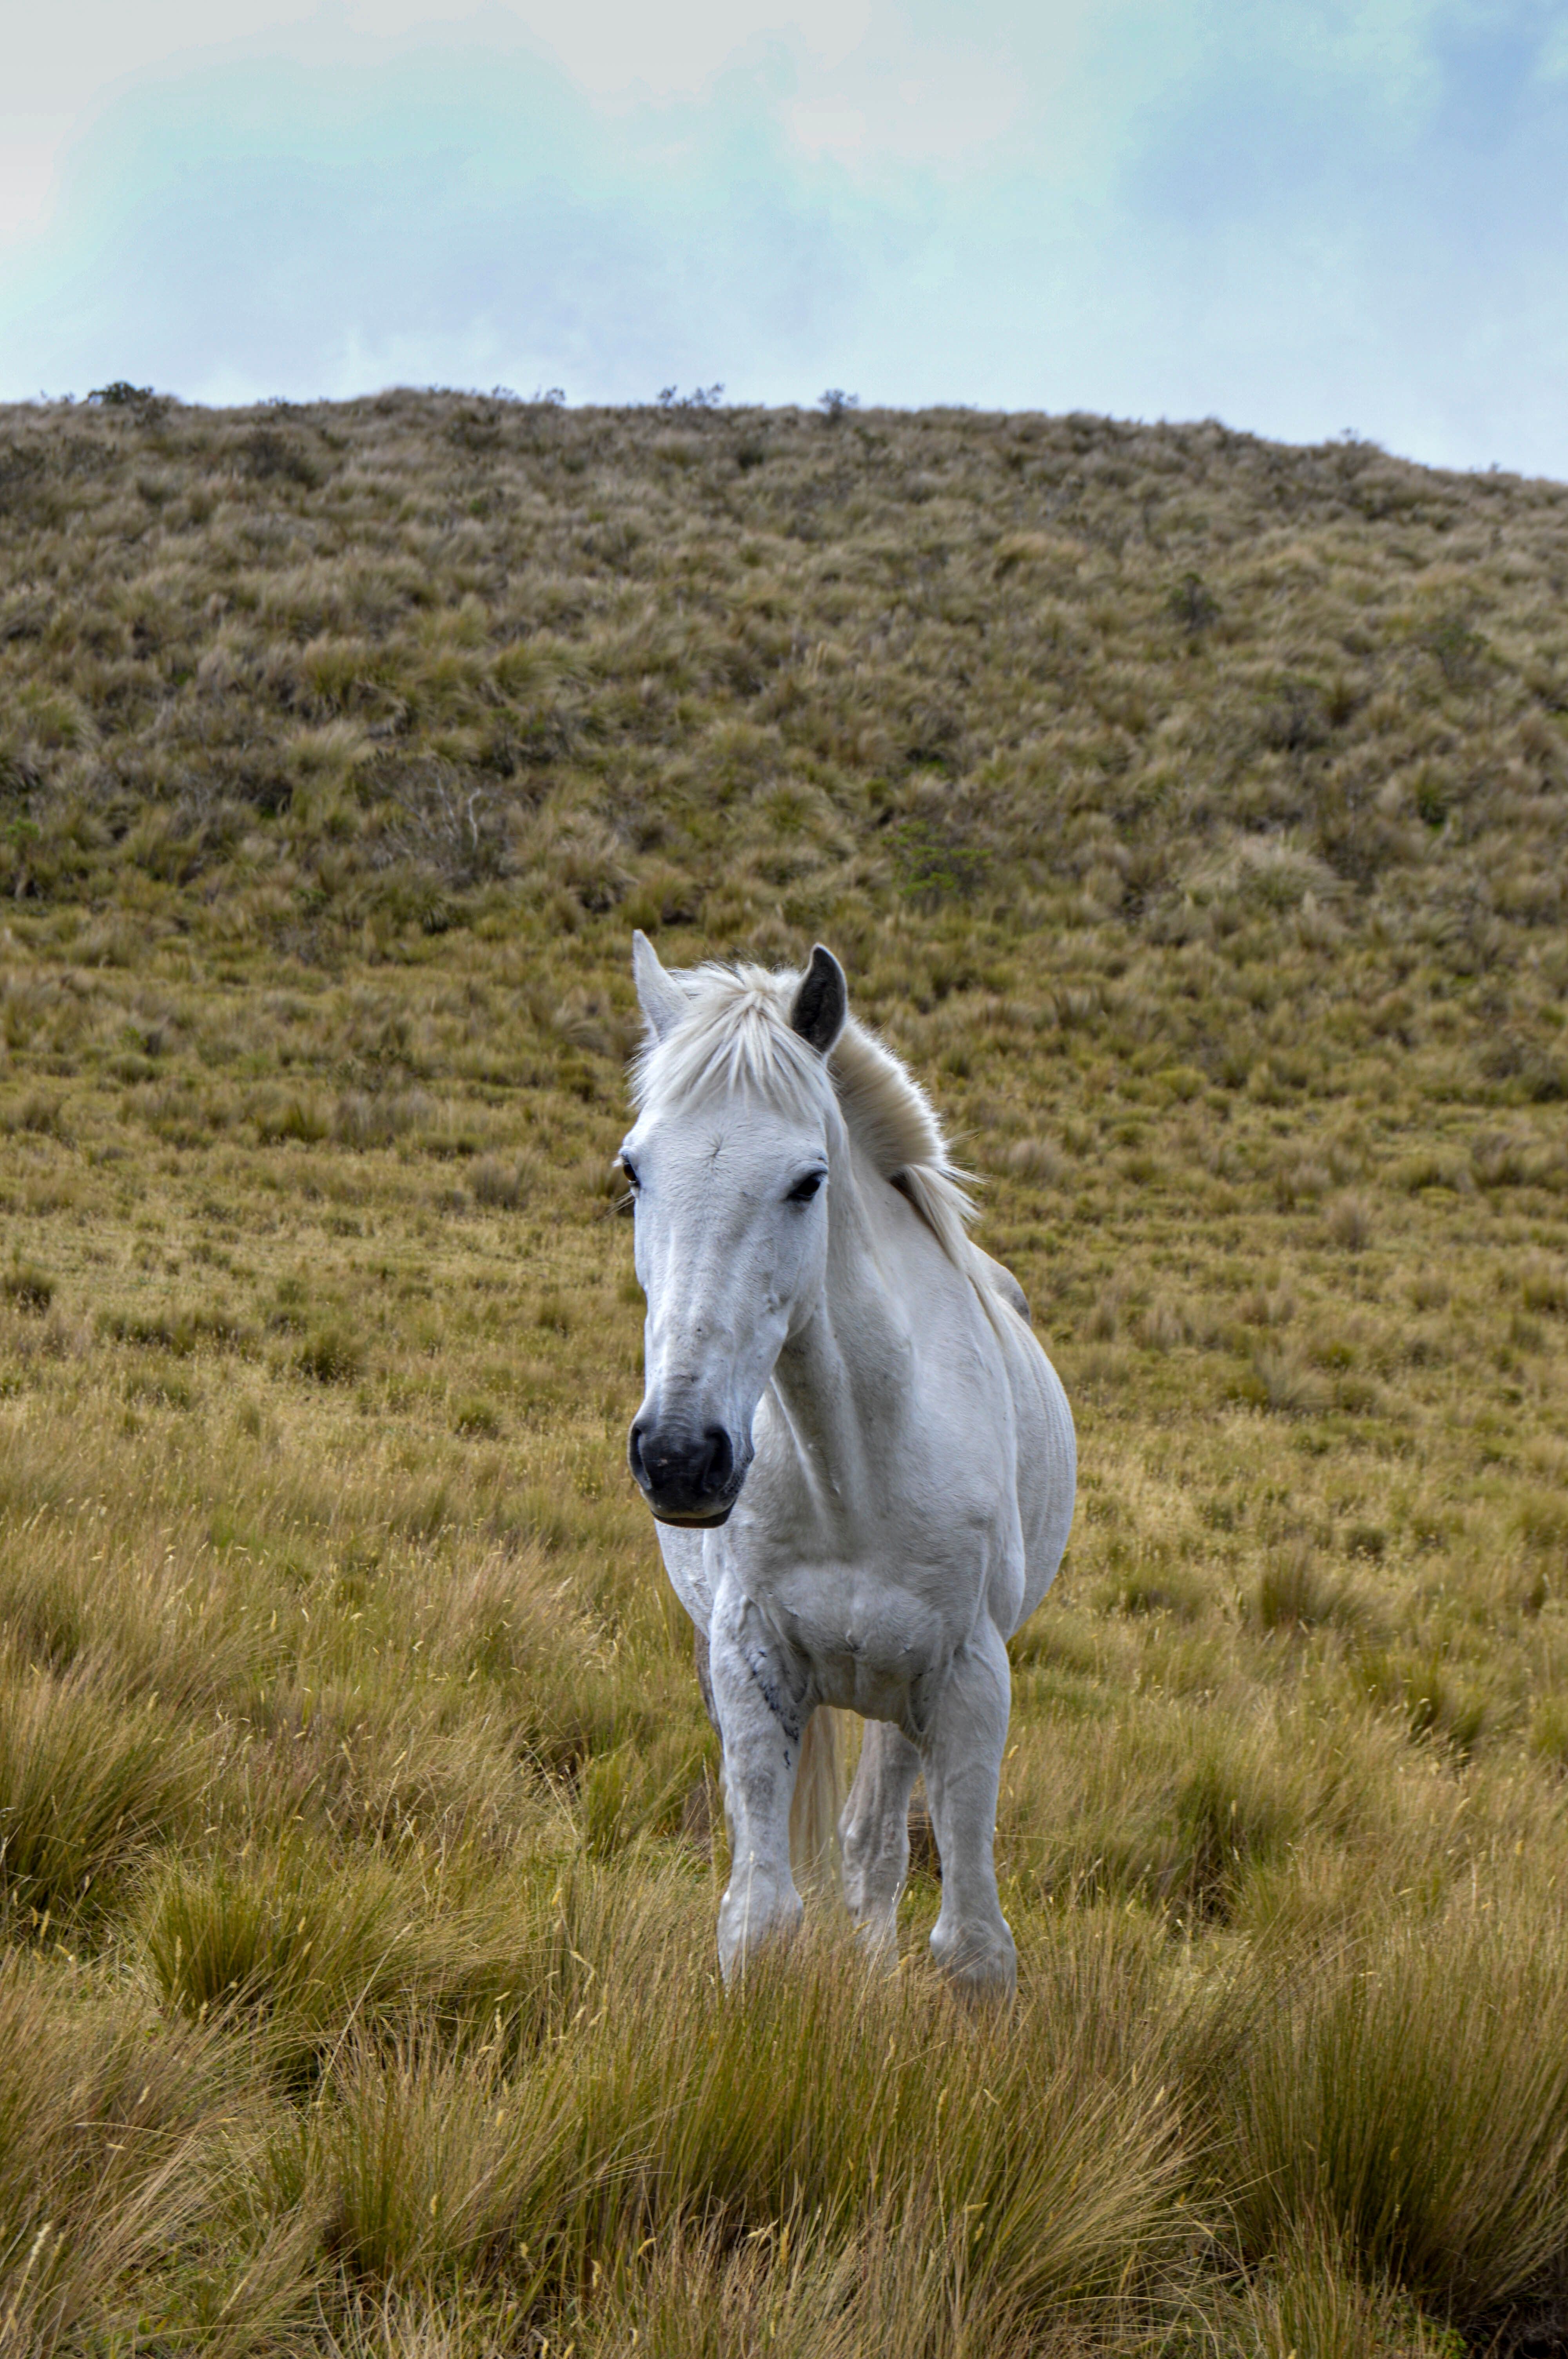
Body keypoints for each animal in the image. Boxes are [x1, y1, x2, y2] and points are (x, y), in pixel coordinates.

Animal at [618, 933, 1076, 1996]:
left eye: (806, 1180)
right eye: (632, 1172)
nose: (681, 1456)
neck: (853, 1471)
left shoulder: (966, 1679)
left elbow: (971, 1948)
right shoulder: (748, 1660)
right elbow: (758, 1918)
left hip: (900, 1704)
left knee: (875, 1850)